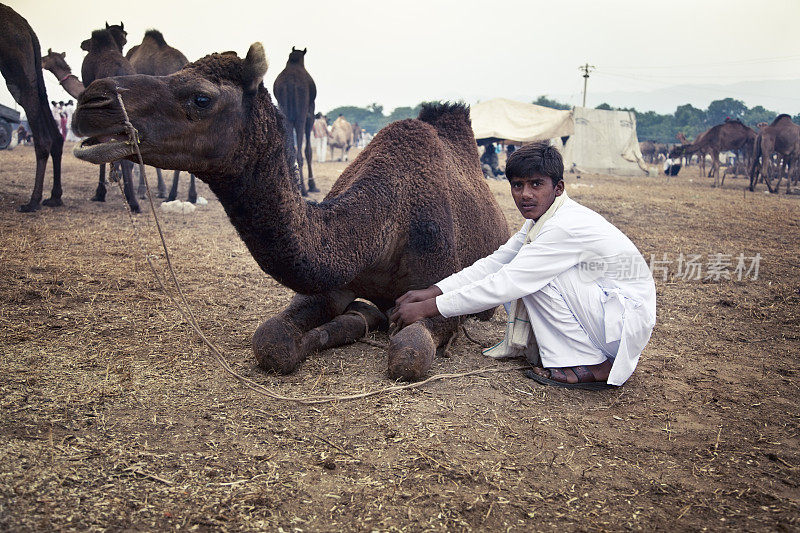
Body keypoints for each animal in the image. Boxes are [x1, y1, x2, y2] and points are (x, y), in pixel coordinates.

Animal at [272, 47, 316, 195]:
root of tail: (290, 85)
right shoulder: (310, 112)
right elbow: (308, 150)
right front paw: (313, 185)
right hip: (301, 114)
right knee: (299, 151)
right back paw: (304, 189)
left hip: (285, 114)